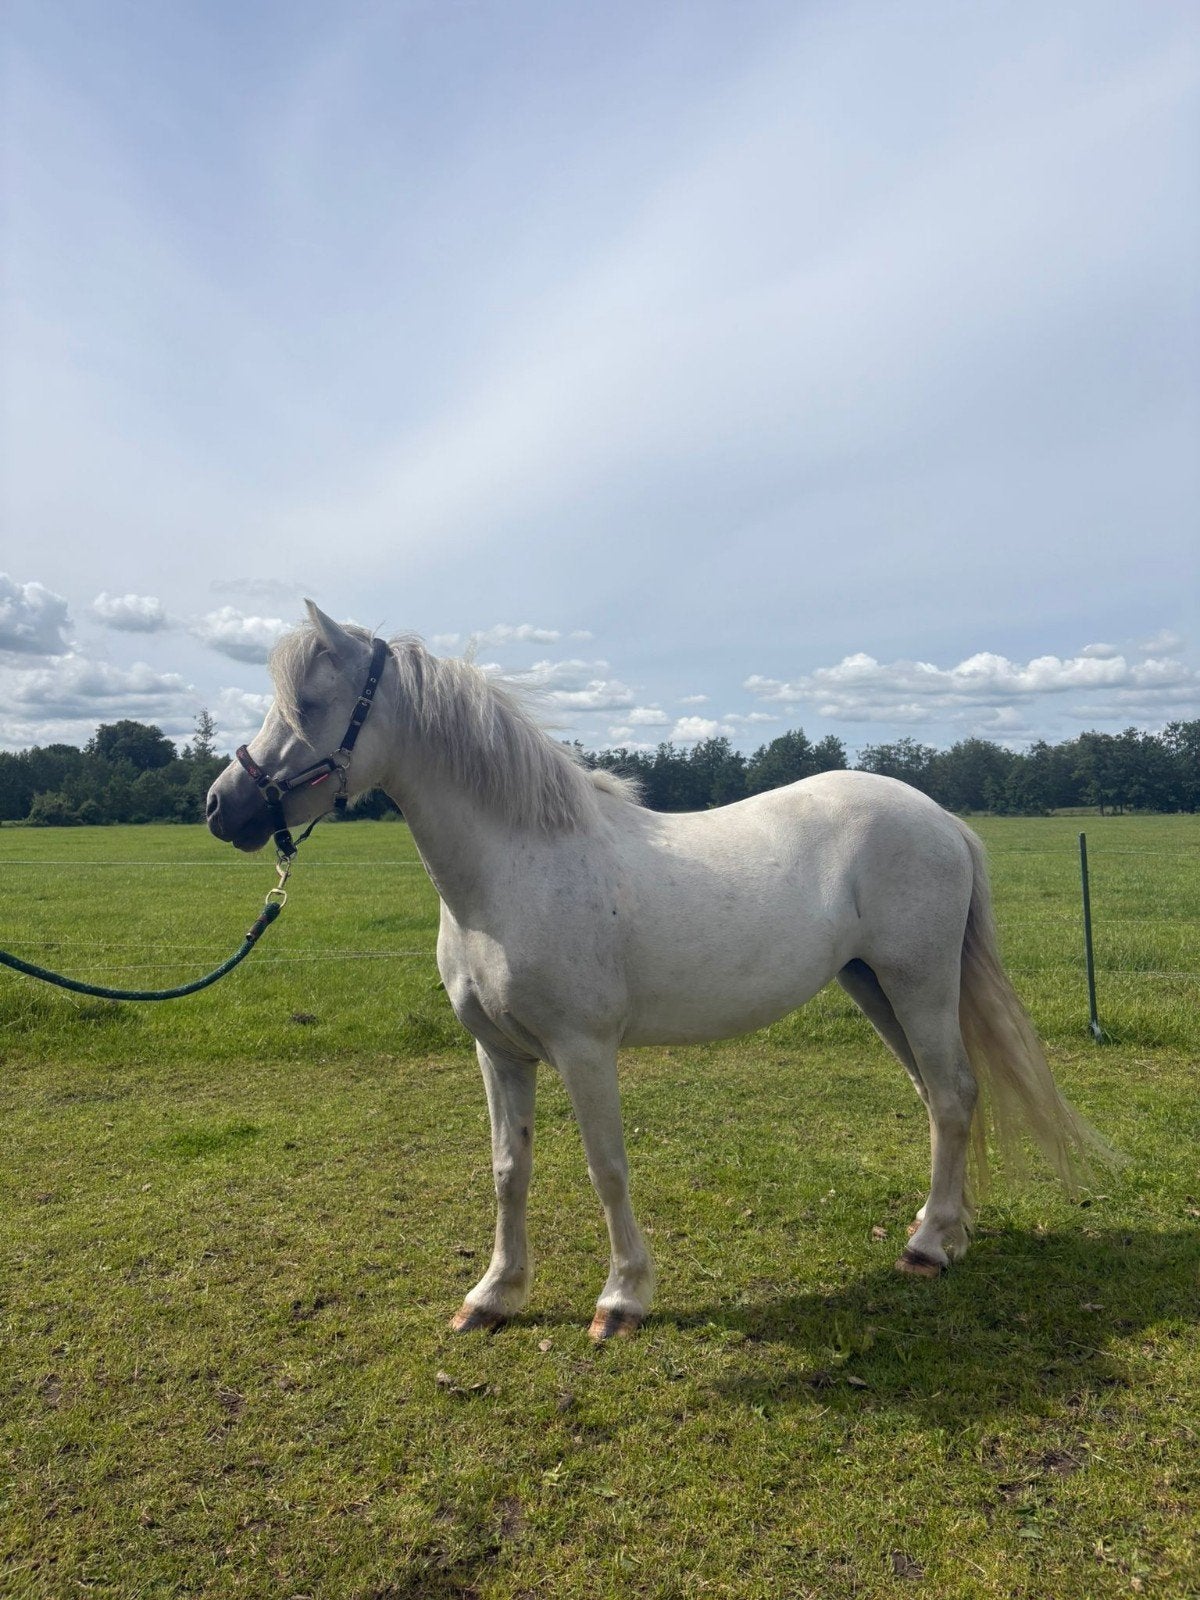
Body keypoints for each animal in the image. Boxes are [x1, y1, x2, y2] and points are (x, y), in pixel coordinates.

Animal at [206, 603, 1115, 1340]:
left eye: (310, 704)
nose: (223, 807)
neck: (515, 868)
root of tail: (942, 820)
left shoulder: (583, 1050)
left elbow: (606, 1168)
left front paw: (621, 1299)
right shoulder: (498, 1054)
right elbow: (508, 1171)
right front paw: (493, 1296)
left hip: (917, 982)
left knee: (954, 1094)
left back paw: (928, 1247)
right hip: (874, 985)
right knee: (941, 1096)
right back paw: (947, 1231)